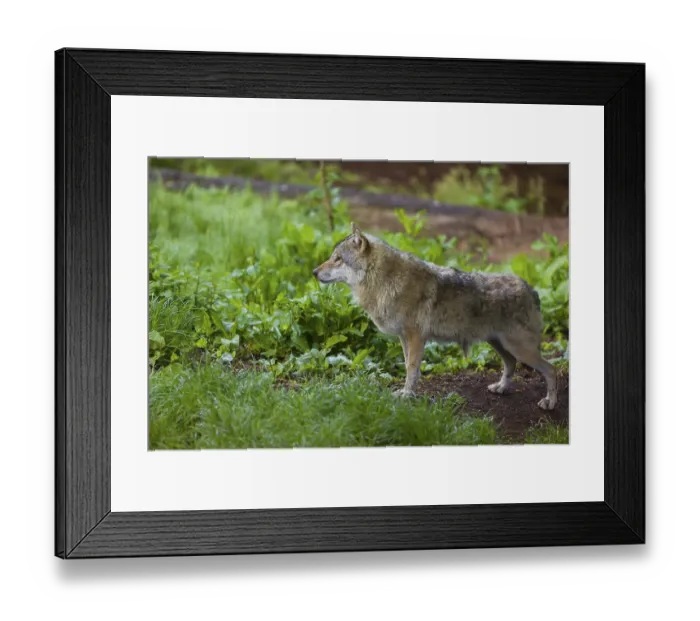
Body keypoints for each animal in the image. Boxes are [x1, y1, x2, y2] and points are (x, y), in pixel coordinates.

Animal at [312, 223, 557, 410]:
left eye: (338, 259)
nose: (314, 272)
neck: (385, 281)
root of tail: (530, 288)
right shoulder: (404, 338)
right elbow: (408, 366)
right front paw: (408, 393)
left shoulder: (416, 337)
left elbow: (411, 369)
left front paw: (406, 396)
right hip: (499, 344)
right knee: (511, 364)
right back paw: (502, 388)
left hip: (519, 349)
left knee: (550, 369)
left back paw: (549, 402)